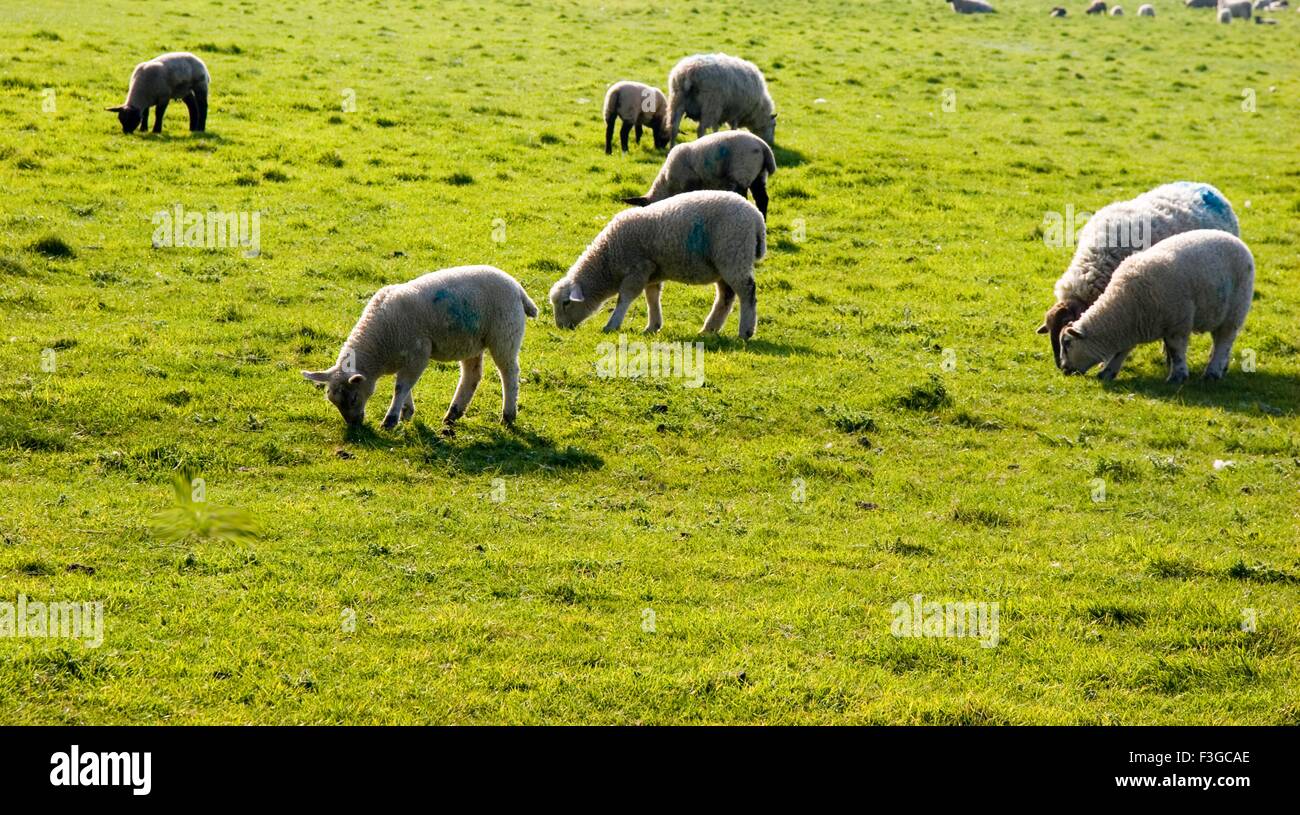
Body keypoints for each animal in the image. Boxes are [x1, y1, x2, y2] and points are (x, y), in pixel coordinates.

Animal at [304, 267, 538, 434]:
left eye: (353, 399)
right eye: (333, 401)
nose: (354, 425)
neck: (379, 344)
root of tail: (518, 288)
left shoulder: (418, 353)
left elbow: (401, 387)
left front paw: (390, 420)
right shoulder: (405, 359)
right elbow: (404, 385)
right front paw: (406, 412)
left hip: (504, 335)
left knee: (509, 373)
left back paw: (508, 415)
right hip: (470, 341)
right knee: (472, 375)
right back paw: (452, 415)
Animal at [546, 191, 764, 337]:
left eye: (566, 303)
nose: (561, 327)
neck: (607, 259)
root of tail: (756, 217)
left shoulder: (638, 269)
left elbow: (625, 298)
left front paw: (612, 325)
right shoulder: (652, 271)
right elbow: (652, 297)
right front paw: (653, 326)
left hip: (734, 255)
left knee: (747, 292)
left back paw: (745, 331)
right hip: (724, 264)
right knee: (725, 296)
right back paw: (709, 329)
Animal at [624, 130, 774, 219]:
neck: (666, 182)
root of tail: (763, 146)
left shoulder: (689, 184)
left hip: (741, 174)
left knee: (746, 197)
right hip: (759, 176)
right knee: (762, 199)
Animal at [1060, 230, 1253, 382]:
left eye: (1067, 343)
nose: (1064, 370)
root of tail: (1236, 240)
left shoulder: (1177, 324)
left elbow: (1176, 351)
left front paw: (1178, 376)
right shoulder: (1132, 327)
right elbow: (1121, 351)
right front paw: (1107, 373)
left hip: (1235, 309)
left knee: (1224, 340)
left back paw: (1212, 372)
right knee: (1219, 340)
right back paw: (1221, 366)